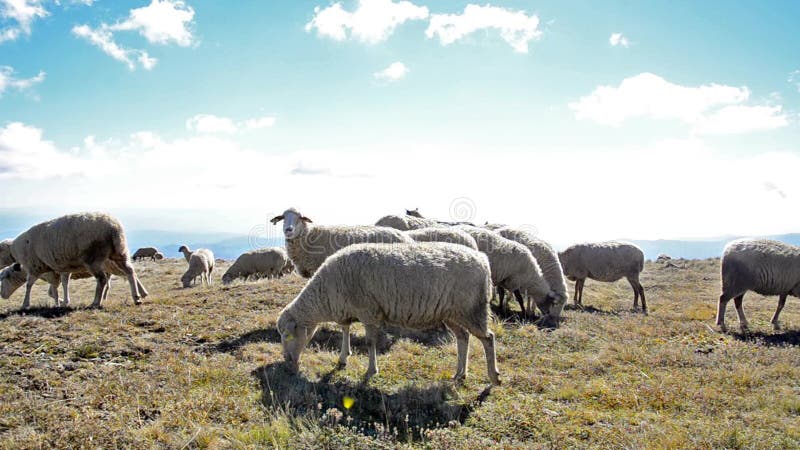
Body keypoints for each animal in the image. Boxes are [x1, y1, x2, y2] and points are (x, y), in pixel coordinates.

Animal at [3, 214, 147, 310]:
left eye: (4, 277)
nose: (2, 296)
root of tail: (113, 227)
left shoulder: (36, 267)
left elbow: (31, 285)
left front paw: (25, 304)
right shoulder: (62, 268)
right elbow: (62, 285)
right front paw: (63, 302)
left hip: (93, 258)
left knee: (102, 279)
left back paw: (96, 302)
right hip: (119, 252)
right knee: (129, 271)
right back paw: (136, 297)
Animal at [276, 241, 500, 384]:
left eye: (287, 335)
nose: (286, 361)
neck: (325, 294)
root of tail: (483, 260)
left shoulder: (368, 311)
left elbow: (370, 343)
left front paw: (370, 371)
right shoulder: (347, 310)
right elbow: (345, 331)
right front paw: (343, 357)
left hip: (472, 310)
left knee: (488, 338)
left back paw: (493, 377)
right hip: (452, 313)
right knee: (463, 338)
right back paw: (460, 374)